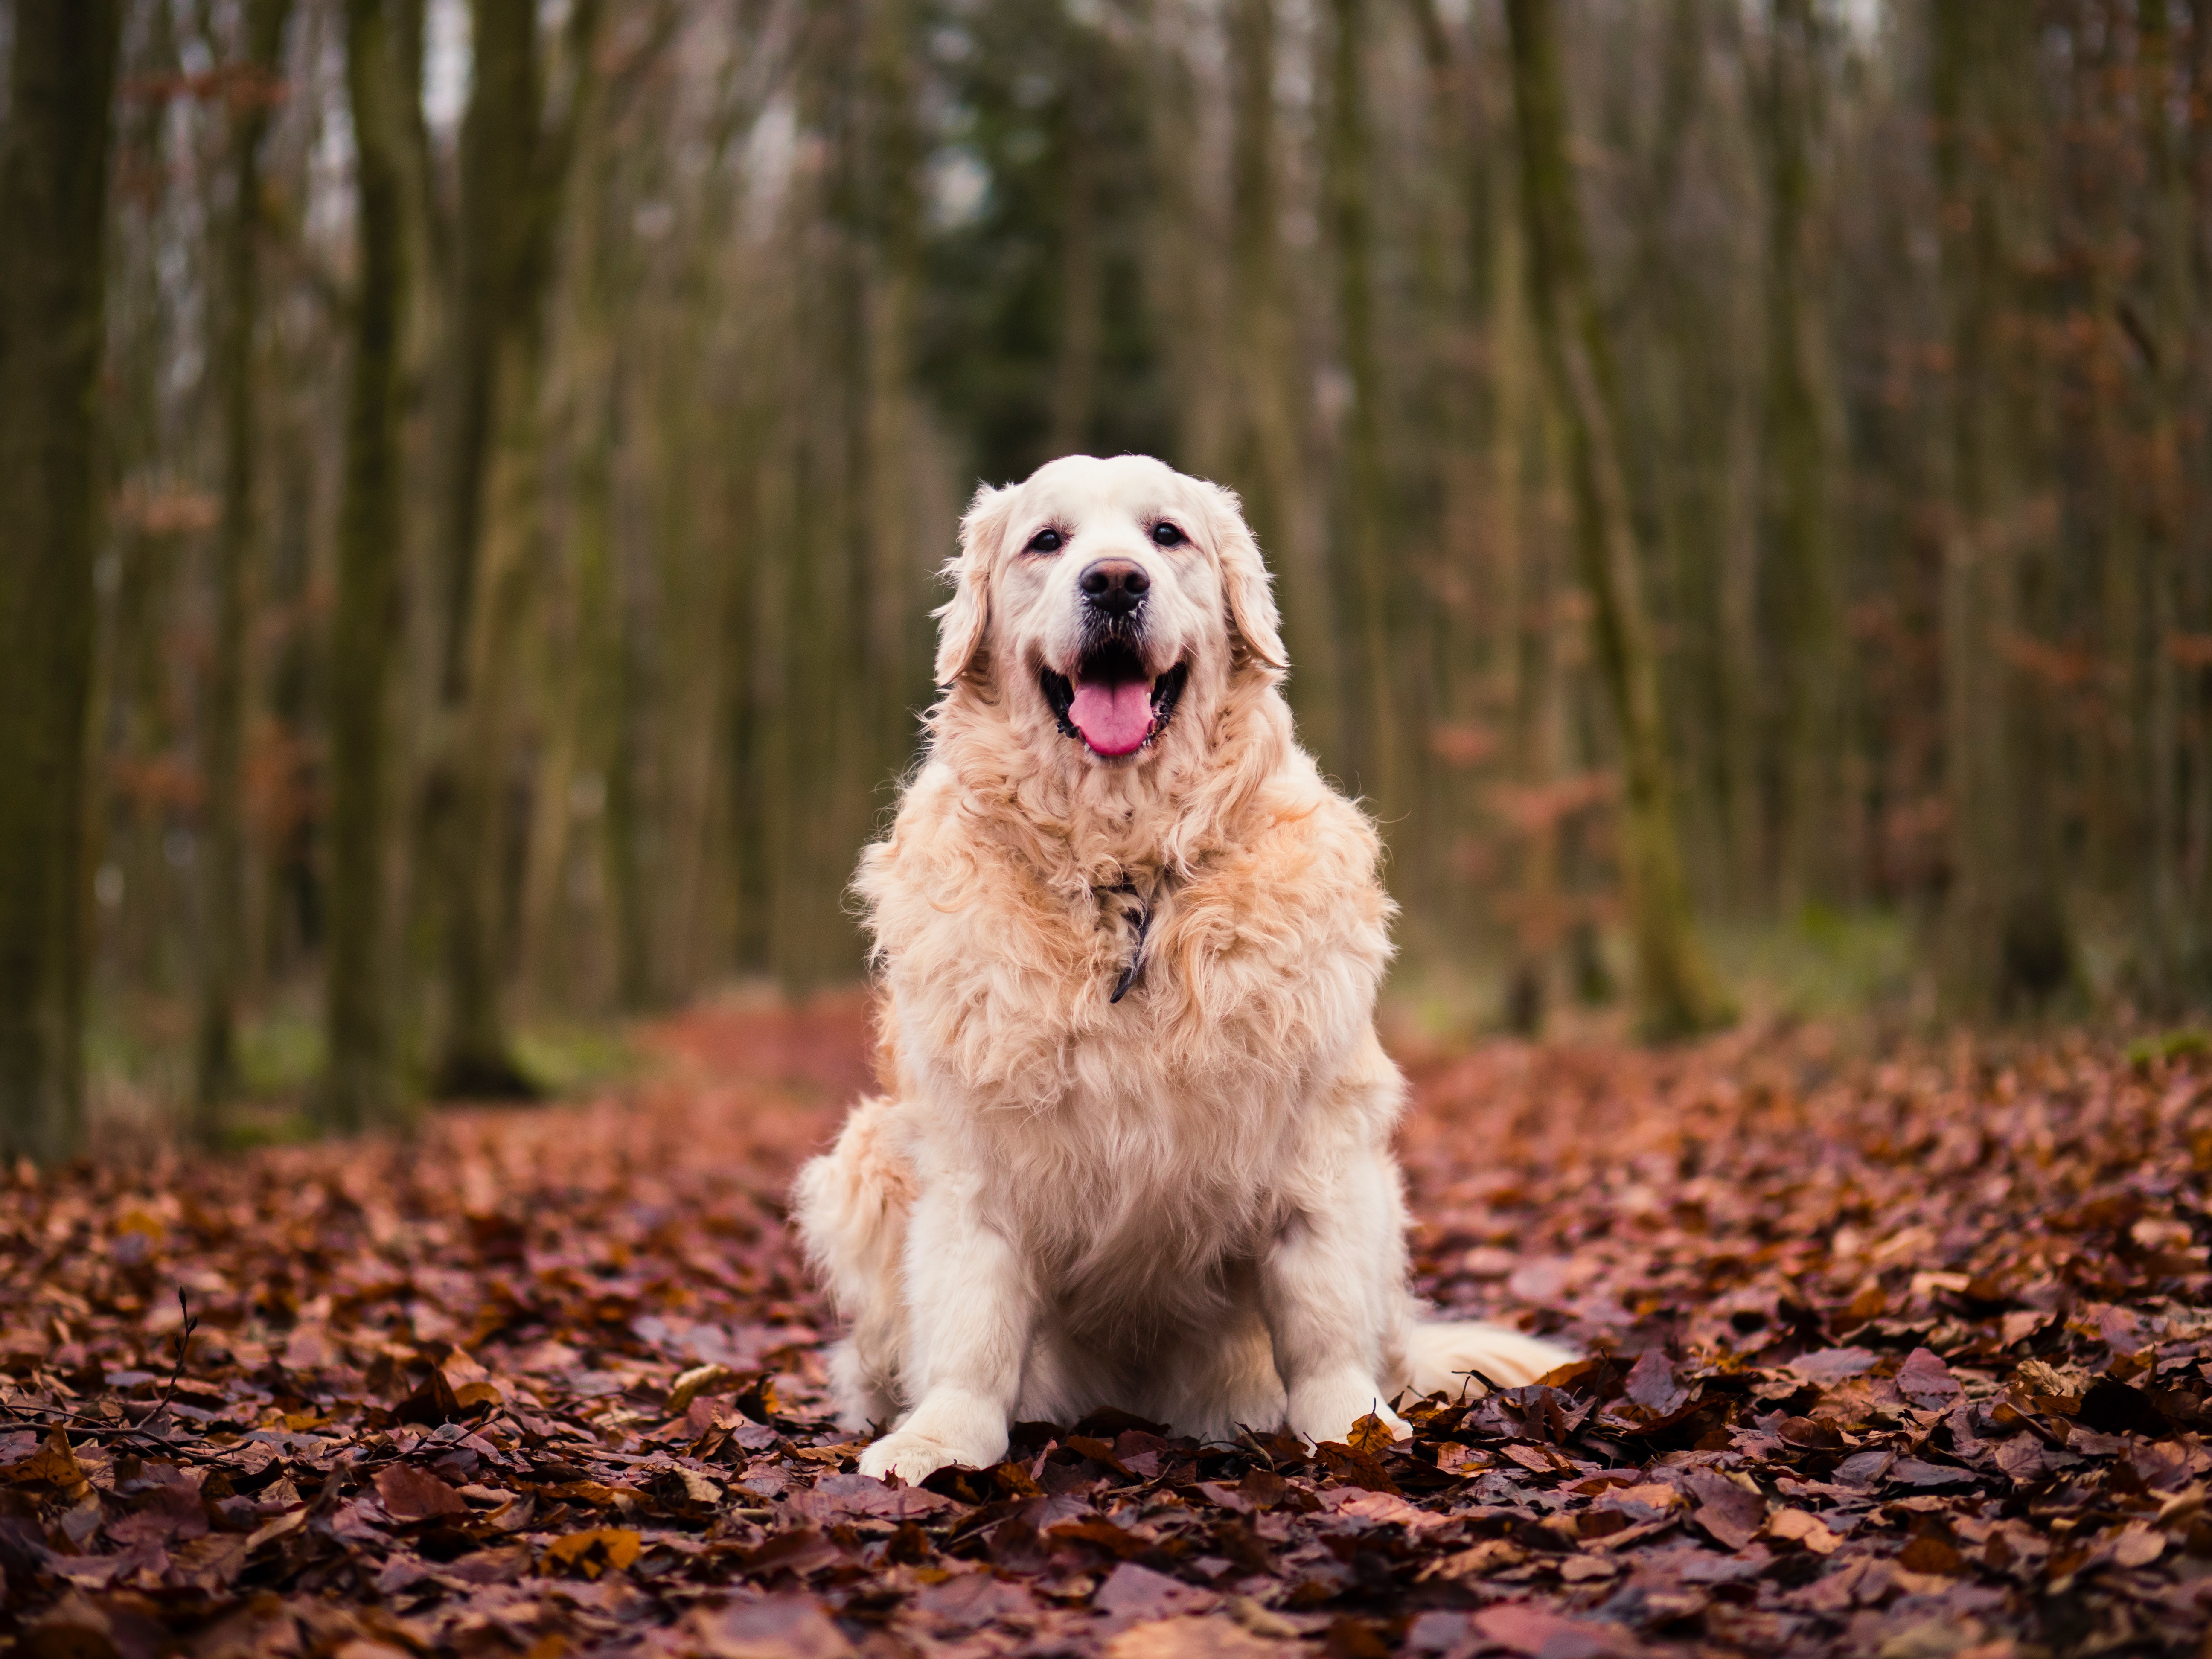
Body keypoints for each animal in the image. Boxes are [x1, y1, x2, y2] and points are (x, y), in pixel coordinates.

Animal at [796, 449, 1575, 1486]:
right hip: (863, 1158)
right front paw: (938, 1440)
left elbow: (1322, 1324)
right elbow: (970, 1323)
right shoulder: (971, 1159)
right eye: (1046, 541)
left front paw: (1352, 1430)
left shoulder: (1320, 1146)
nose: (1114, 582)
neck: (1126, 876)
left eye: (1167, 535)